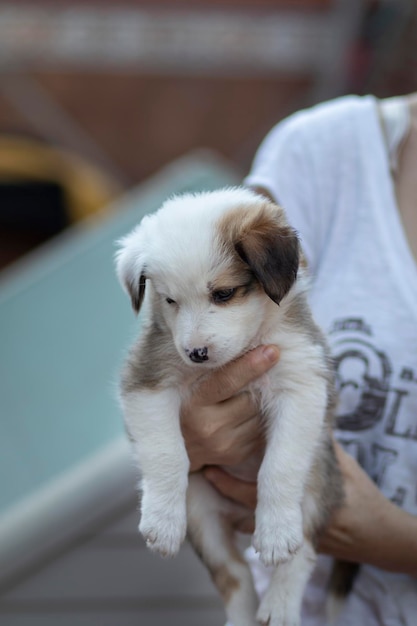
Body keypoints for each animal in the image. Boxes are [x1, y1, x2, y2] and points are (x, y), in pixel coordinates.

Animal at [115, 186, 342, 624]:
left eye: (222, 293)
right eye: (170, 300)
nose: (196, 353)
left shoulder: (301, 381)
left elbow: (279, 464)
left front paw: (274, 532)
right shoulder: (148, 382)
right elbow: (166, 453)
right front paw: (161, 520)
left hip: (317, 484)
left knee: (301, 554)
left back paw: (280, 602)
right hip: (201, 511)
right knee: (233, 574)